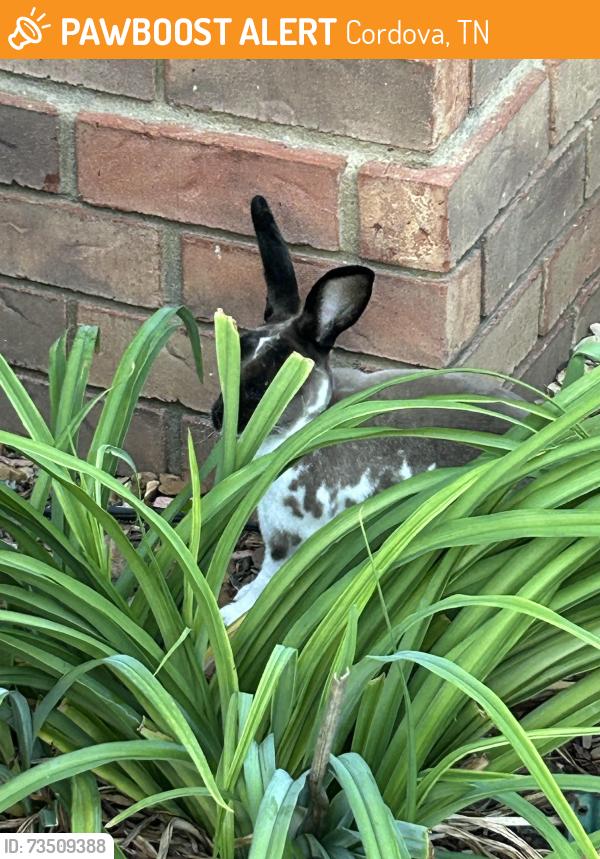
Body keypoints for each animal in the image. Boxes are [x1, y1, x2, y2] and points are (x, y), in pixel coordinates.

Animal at [212, 196, 523, 625]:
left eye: (267, 385)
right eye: (232, 356)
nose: (218, 419)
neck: (311, 425)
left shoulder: (289, 537)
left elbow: (270, 578)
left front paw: (232, 611)